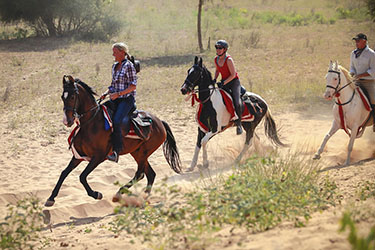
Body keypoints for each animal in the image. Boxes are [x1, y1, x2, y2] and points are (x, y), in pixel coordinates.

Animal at [44, 75, 183, 206]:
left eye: (73, 97)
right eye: (62, 97)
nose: (67, 121)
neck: (91, 123)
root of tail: (160, 122)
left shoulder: (99, 157)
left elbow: (82, 176)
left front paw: (96, 194)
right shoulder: (78, 156)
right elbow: (64, 173)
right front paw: (51, 198)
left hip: (143, 153)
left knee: (140, 174)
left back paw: (120, 194)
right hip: (137, 152)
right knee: (150, 174)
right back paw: (144, 197)